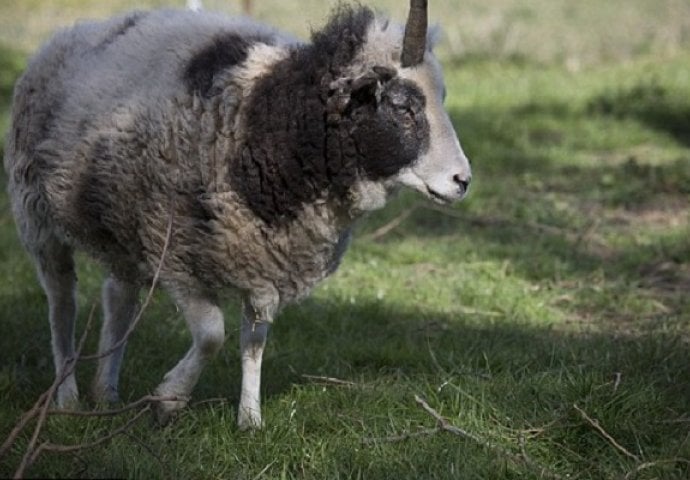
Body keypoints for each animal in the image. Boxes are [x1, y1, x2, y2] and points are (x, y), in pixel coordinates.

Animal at [5, 0, 470, 428]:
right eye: (404, 106)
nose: (462, 180)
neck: (268, 125)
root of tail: (73, 32)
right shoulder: (177, 255)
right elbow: (213, 334)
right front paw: (169, 399)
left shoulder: (264, 262)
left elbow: (254, 340)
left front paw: (250, 419)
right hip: (38, 218)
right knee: (62, 305)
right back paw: (67, 396)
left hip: (122, 226)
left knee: (119, 299)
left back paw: (106, 391)